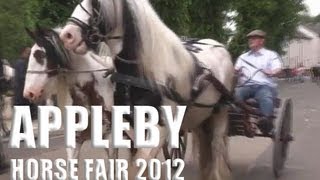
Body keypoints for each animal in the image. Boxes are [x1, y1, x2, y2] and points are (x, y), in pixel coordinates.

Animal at [60, 0, 234, 180]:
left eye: (96, 3)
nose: (67, 35)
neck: (141, 75)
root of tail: (219, 46)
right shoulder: (131, 127)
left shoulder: (161, 128)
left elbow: (140, 164)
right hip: (200, 116)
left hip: (220, 112)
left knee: (216, 146)